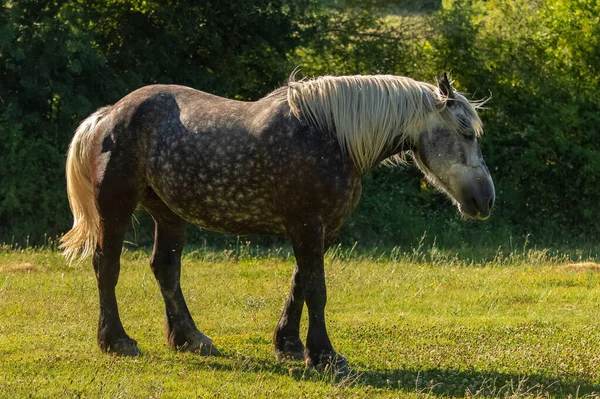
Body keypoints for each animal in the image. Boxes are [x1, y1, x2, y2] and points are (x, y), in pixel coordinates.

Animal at [59, 72, 492, 376]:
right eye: (466, 133)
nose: (485, 199)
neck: (331, 136)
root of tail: (109, 115)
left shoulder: (322, 230)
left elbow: (300, 282)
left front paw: (289, 345)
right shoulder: (307, 225)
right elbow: (316, 289)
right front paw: (325, 356)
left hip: (168, 212)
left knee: (165, 269)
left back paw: (190, 339)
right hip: (115, 206)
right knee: (107, 266)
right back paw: (116, 341)